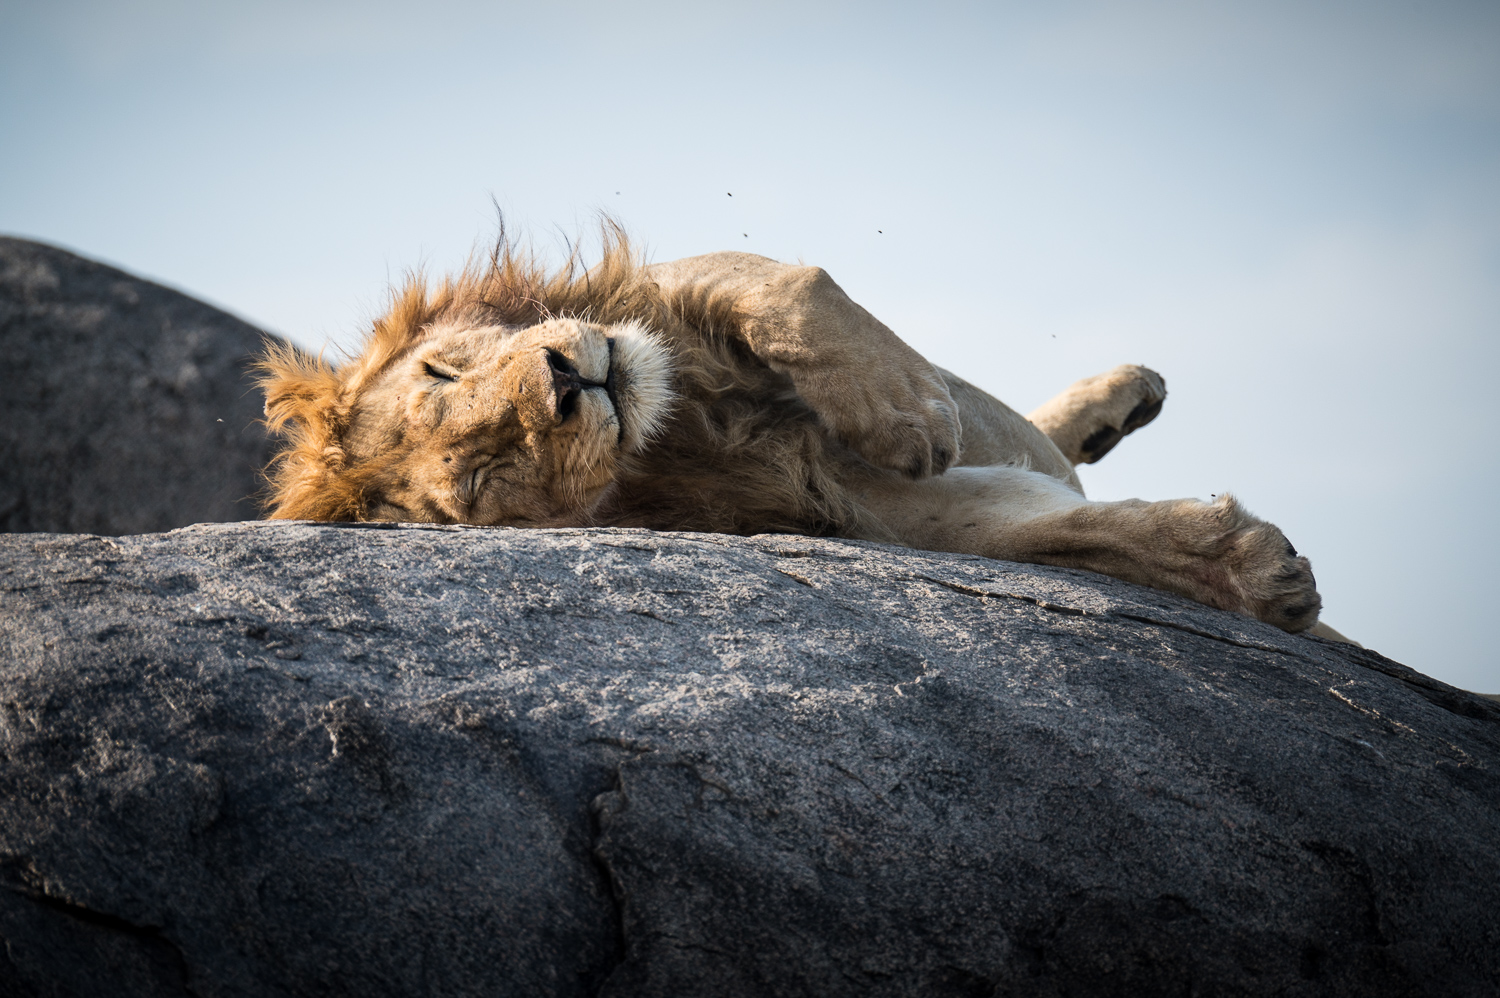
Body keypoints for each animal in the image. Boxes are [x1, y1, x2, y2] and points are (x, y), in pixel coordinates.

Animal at [261, 226, 1338, 633]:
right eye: (481, 478)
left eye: (442, 369)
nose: (566, 380)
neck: (677, 431)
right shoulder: (870, 510)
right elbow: (1057, 532)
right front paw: (1254, 570)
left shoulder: (663, 295)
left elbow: (779, 281)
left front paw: (905, 405)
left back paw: (1120, 393)